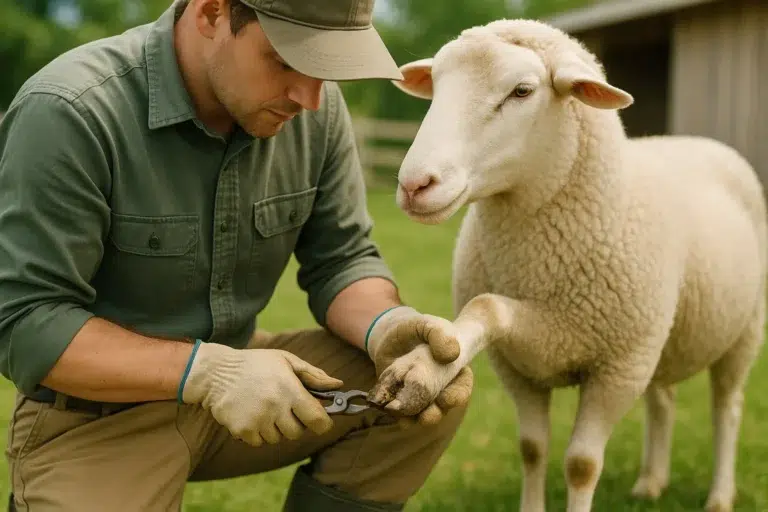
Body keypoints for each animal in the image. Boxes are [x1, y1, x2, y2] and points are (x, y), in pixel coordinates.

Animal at [367, 18, 767, 512]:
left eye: (522, 91)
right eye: (437, 84)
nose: (414, 184)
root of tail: (695, 140)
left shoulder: (617, 370)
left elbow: (581, 465)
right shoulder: (521, 359)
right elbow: (531, 445)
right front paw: (423, 367)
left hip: (741, 331)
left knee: (726, 408)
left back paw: (720, 494)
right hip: (660, 337)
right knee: (663, 400)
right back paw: (651, 482)